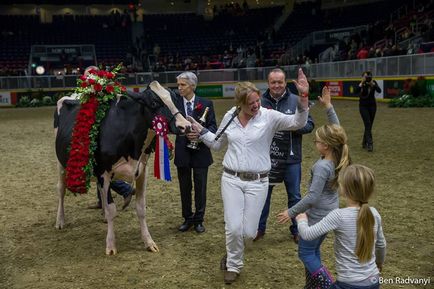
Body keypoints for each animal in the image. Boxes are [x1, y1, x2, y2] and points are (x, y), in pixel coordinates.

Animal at [54, 81, 190, 254]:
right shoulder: (103, 172)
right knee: (61, 189)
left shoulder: (142, 170)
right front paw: (111, 245)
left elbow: (141, 208)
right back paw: (60, 220)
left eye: (176, 100)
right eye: (154, 103)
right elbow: (112, 209)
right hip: (61, 163)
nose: (185, 126)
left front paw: (149, 242)